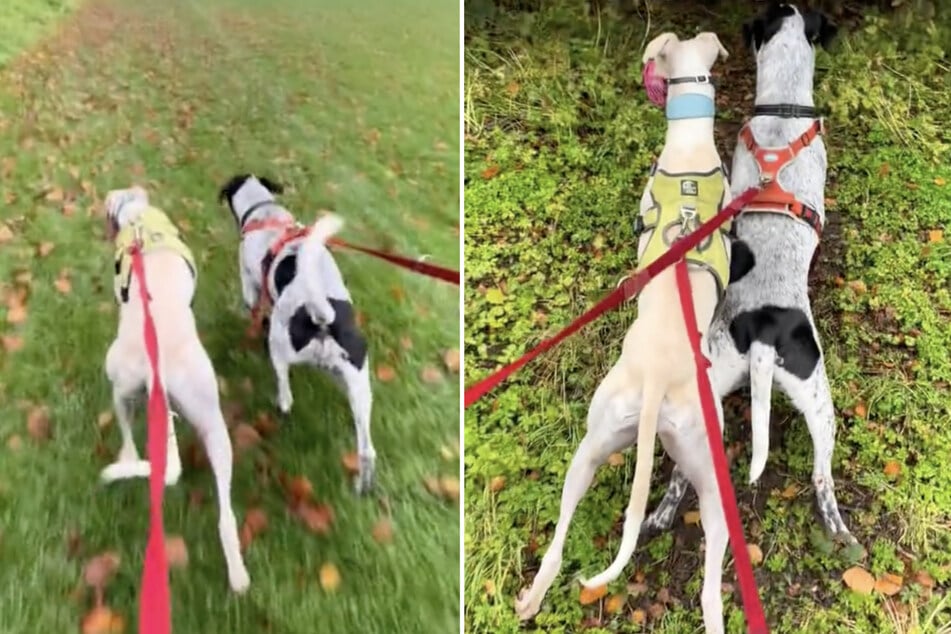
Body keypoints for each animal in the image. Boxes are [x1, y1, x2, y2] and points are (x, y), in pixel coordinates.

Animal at [102, 185, 249, 592]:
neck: (138, 217)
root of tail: (160, 373)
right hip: (214, 424)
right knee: (226, 515)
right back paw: (238, 574)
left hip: (119, 383)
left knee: (126, 432)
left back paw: (125, 459)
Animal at [218, 174, 376, 494]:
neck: (266, 213)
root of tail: (323, 319)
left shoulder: (249, 282)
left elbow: (253, 306)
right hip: (360, 386)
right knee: (368, 451)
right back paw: (362, 487)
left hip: (280, 347)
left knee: (285, 393)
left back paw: (280, 405)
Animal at [644, 2, 860, 540]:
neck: (784, 108)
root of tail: (763, 334)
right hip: (822, 401)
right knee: (822, 477)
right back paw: (839, 528)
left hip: (718, 390)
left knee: (683, 474)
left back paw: (661, 514)